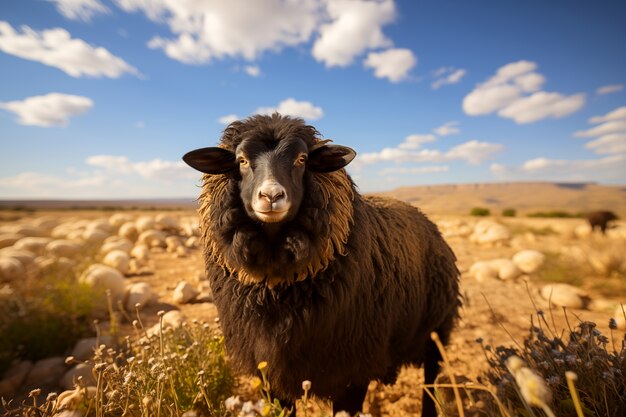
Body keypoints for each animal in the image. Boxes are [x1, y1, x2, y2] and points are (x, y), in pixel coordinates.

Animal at [180, 114, 458, 416]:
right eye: (240, 160)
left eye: (301, 159)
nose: (271, 196)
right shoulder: (266, 371)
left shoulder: (354, 371)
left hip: (436, 331)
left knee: (430, 382)